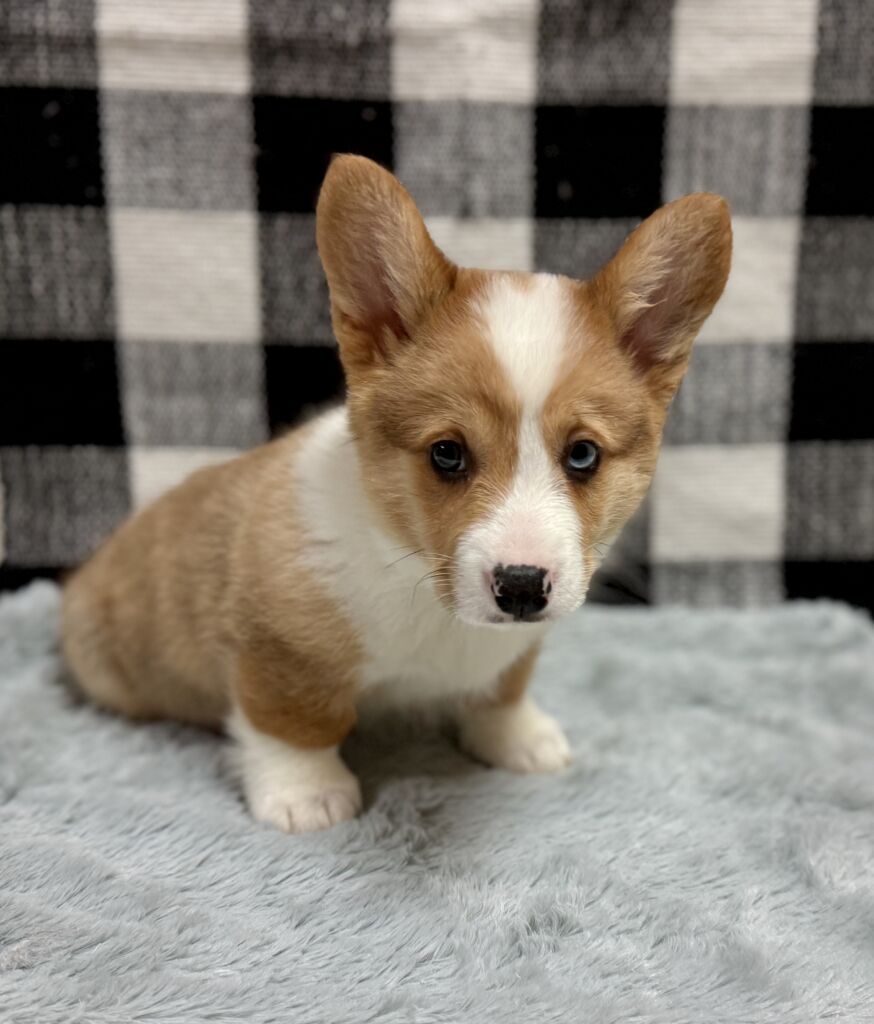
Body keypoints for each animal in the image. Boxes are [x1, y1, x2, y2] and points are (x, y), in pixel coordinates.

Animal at [62, 155, 731, 834]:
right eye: (447, 453)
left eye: (583, 455)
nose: (520, 588)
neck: (428, 595)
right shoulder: (278, 650)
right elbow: (293, 723)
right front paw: (306, 795)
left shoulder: (509, 656)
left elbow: (501, 691)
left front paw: (520, 739)